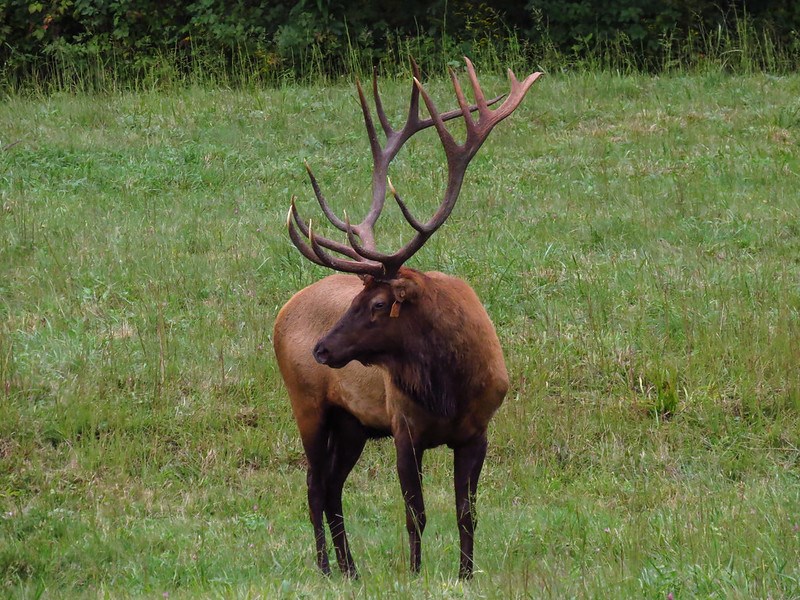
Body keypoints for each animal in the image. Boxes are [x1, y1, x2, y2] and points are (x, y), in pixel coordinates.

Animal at [276, 58, 544, 580]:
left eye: (378, 304)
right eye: (357, 300)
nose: (322, 348)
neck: (449, 386)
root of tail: (282, 312)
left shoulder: (478, 430)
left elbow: (467, 512)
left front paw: (465, 575)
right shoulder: (404, 427)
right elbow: (414, 512)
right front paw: (416, 573)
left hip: (353, 424)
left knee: (332, 486)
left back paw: (351, 570)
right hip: (309, 405)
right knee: (314, 485)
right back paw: (325, 569)